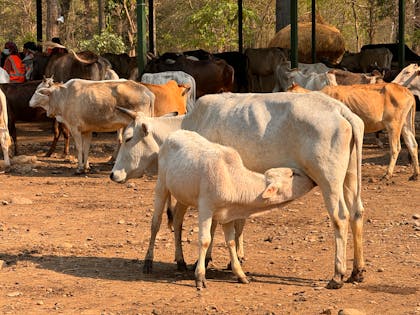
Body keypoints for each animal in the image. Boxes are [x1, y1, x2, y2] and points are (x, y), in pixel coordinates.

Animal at [148, 130, 316, 290]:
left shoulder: (227, 214)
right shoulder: (206, 208)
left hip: (183, 196)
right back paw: (148, 262)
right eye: (293, 174)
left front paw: (240, 274)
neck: (232, 180)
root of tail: (173, 134)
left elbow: (230, 242)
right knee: (156, 223)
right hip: (161, 185)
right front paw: (200, 276)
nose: (313, 180)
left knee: (177, 222)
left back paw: (181, 261)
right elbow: (205, 240)